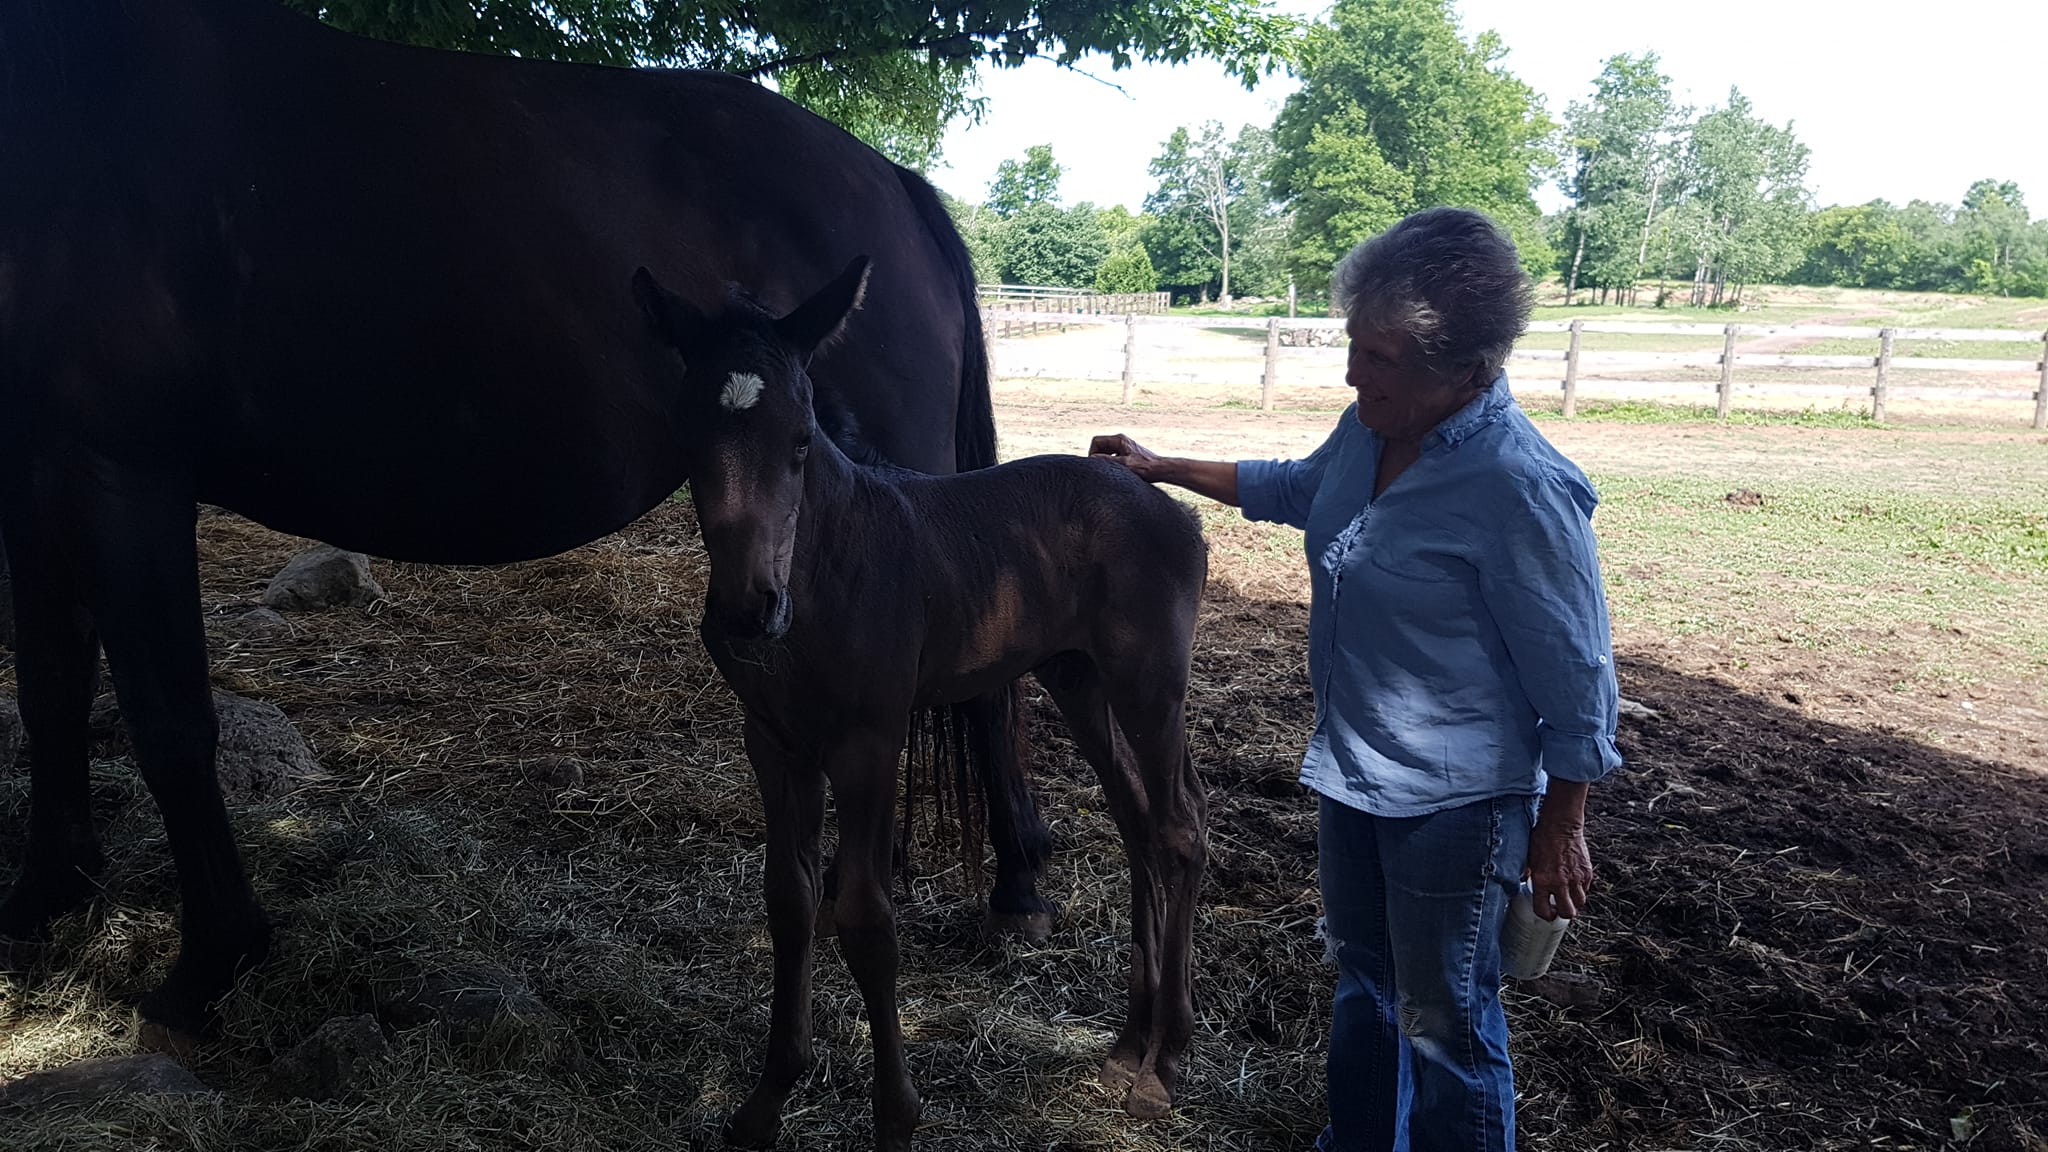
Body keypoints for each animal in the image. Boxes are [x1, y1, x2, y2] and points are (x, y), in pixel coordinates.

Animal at [0, 0, 1055, 1042]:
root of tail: (896, 188)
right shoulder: (40, 480)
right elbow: (52, 690)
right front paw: (48, 896)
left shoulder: (122, 473)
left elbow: (169, 720)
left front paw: (211, 959)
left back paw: (1012, 888)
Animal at [633, 256, 1210, 1150]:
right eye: (688, 441)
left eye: (801, 441)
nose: (747, 612)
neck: (830, 568)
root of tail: (1169, 506)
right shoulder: (774, 742)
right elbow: (789, 901)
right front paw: (768, 1097)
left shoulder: (870, 743)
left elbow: (868, 920)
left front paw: (895, 1116)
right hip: (1078, 679)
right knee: (1139, 821)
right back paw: (1125, 1047)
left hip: (1149, 681)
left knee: (1179, 828)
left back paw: (1166, 1063)